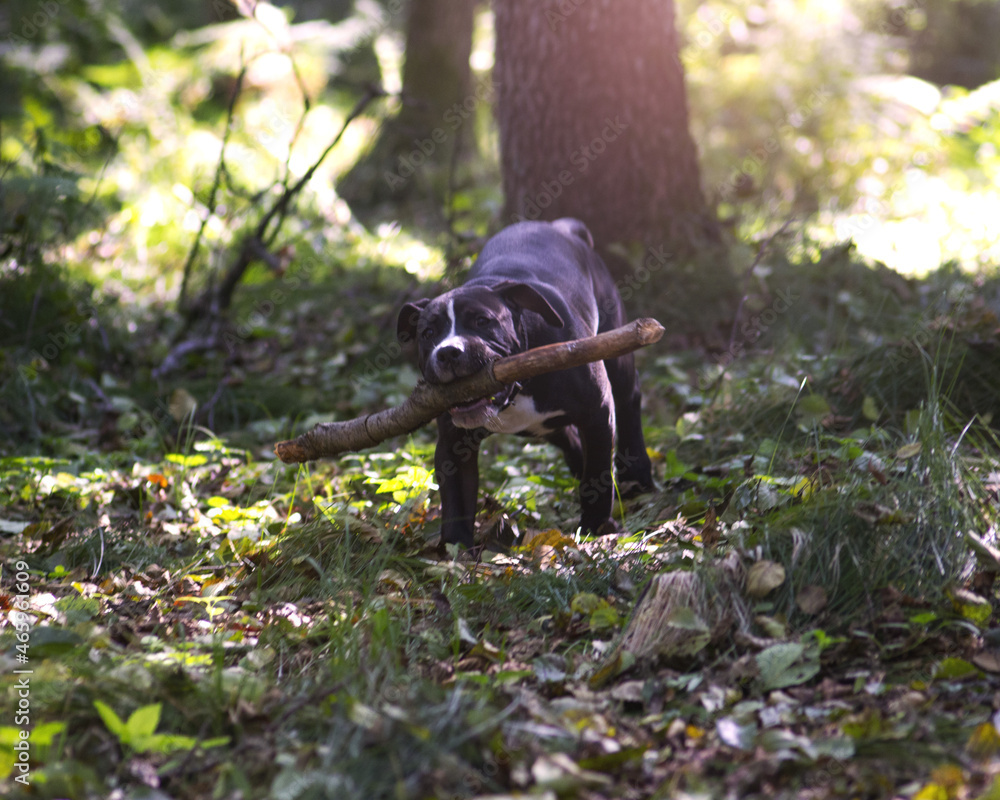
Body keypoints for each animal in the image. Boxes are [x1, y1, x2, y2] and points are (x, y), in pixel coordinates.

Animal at [398, 217, 656, 552]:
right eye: (428, 333)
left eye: (483, 321)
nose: (449, 352)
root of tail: (561, 226)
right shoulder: (455, 444)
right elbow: (456, 500)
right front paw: (455, 550)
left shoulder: (598, 411)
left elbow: (597, 474)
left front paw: (596, 527)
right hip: (539, 426)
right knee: (567, 435)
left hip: (616, 348)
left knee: (630, 398)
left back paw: (636, 472)